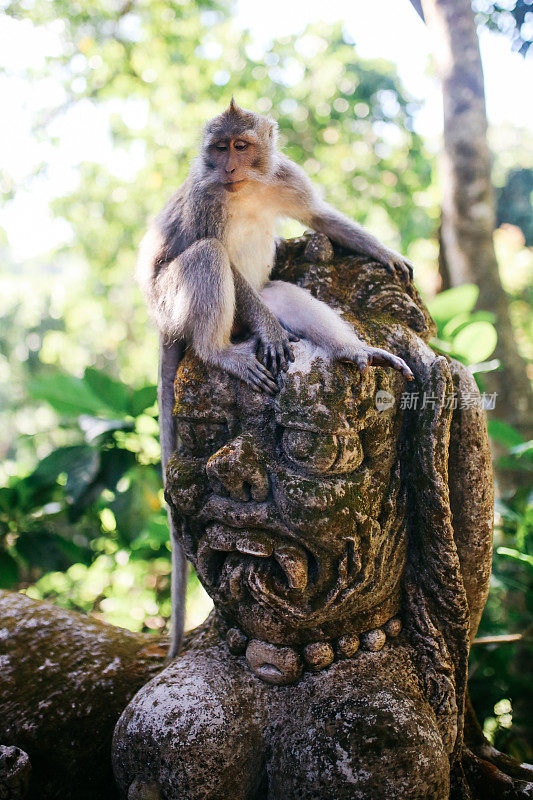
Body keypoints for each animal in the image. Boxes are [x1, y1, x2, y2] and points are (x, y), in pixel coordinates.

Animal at [134, 98, 416, 656]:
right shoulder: (204, 198)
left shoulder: (285, 177)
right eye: (220, 148)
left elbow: (318, 215)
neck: (243, 189)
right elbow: (218, 254)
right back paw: (220, 351)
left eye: (241, 146)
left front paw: (385, 253)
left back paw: (357, 353)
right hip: (171, 303)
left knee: (279, 292)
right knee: (209, 258)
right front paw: (266, 333)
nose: (229, 167)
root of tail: (161, 324)